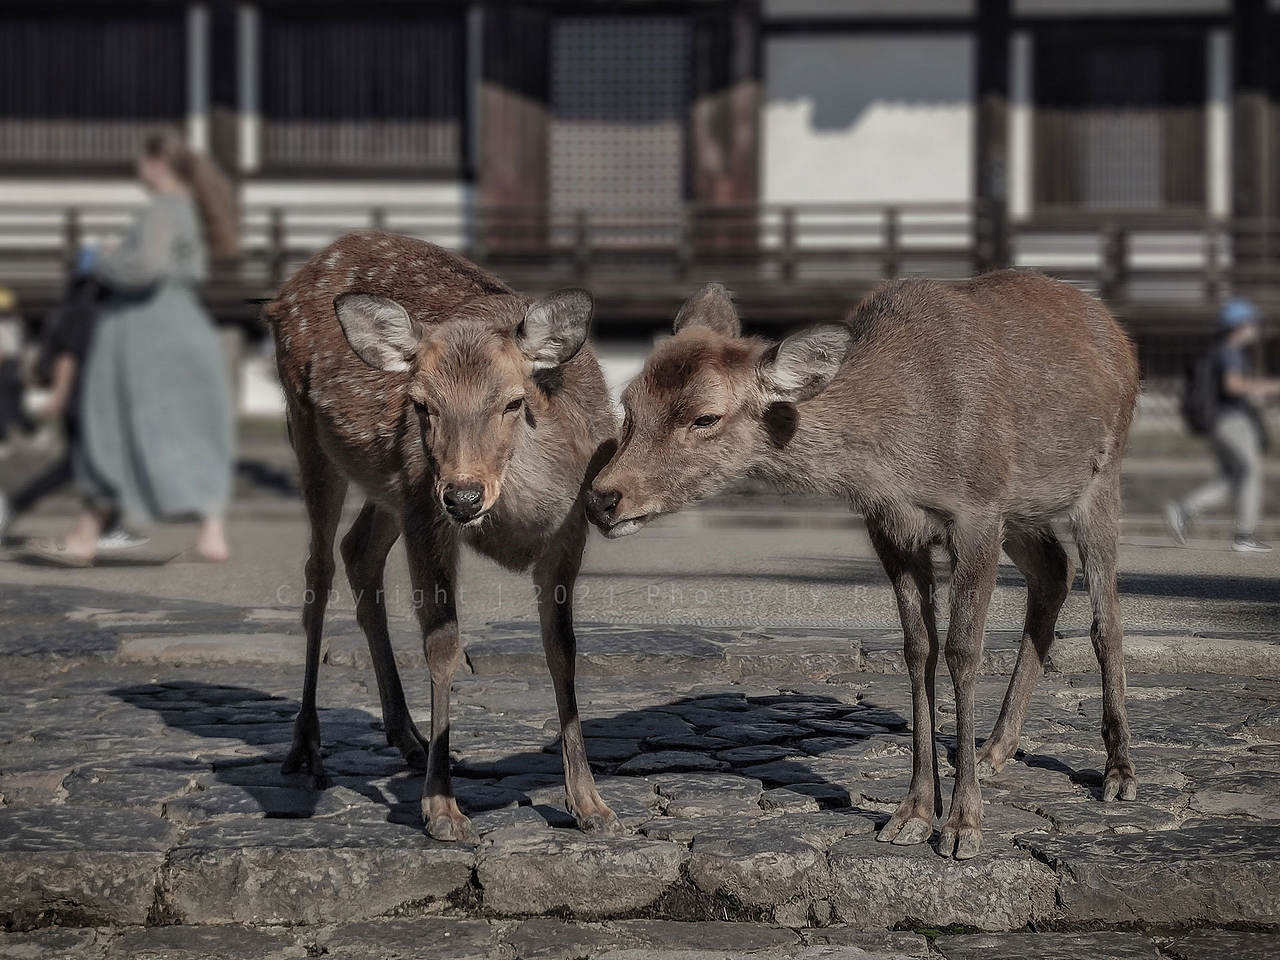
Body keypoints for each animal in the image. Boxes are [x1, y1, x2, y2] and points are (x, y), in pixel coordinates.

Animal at [265, 230, 622, 842]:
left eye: (513, 401)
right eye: (422, 405)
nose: (464, 496)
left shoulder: (567, 533)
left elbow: (563, 646)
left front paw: (590, 804)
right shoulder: (427, 517)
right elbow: (443, 645)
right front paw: (443, 810)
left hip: (393, 486)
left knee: (358, 550)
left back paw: (407, 737)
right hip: (317, 438)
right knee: (318, 572)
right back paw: (307, 745)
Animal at [586, 272, 1140, 859]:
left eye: (705, 417)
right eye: (629, 405)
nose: (602, 498)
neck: (895, 455)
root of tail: (1117, 334)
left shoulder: (978, 512)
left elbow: (963, 652)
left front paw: (963, 825)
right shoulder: (891, 529)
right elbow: (918, 651)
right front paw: (912, 814)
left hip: (1099, 479)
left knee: (1106, 616)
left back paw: (1118, 772)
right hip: (1024, 511)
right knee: (1054, 571)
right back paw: (994, 750)